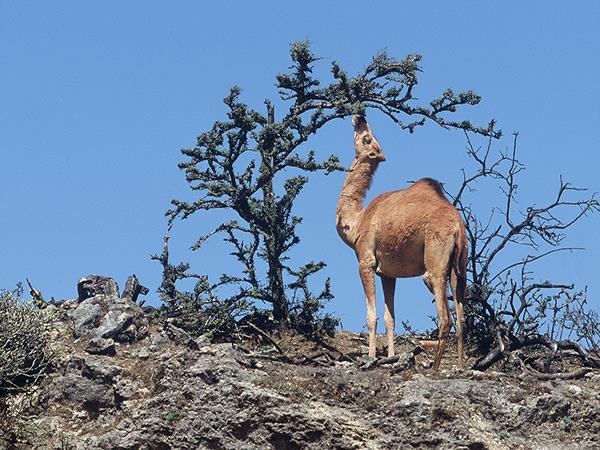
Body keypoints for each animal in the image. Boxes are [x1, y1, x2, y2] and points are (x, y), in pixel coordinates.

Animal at [332, 115, 468, 370]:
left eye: (367, 138)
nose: (359, 116)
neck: (357, 221)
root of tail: (458, 227)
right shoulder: (388, 273)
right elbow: (390, 318)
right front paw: (390, 356)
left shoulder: (365, 261)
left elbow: (372, 316)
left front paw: (371, 357)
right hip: (461, 264)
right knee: (462, 315)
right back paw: (461, 365)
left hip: (434, 263)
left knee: (445, 317)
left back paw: (435, 368)